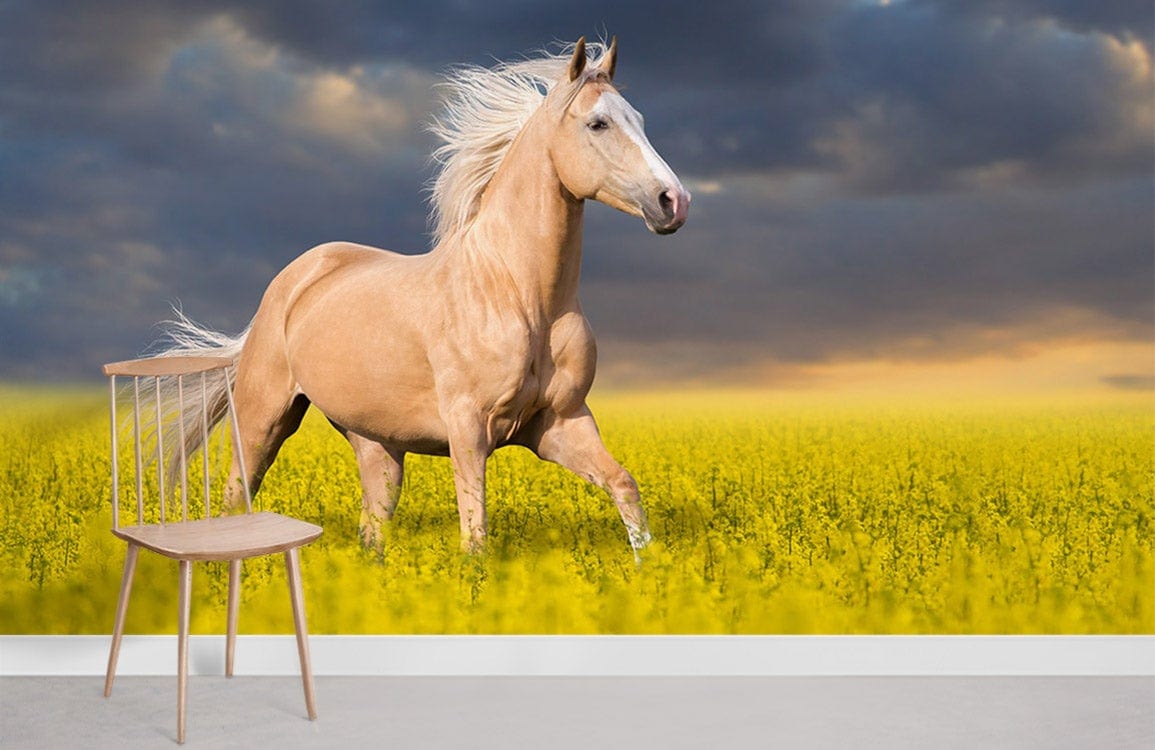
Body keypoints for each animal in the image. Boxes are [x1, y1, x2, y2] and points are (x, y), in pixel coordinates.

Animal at [154, 37, 690, 555]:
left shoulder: (561, 424)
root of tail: (292, 281)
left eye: (639, 120)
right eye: (598, 123)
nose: (674, 202)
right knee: (237, 495)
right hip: (263, 419)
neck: (519, 296)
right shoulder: (468, 428)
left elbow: (624, 487)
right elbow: (475, 536)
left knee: (371, 529)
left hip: (377, 443)